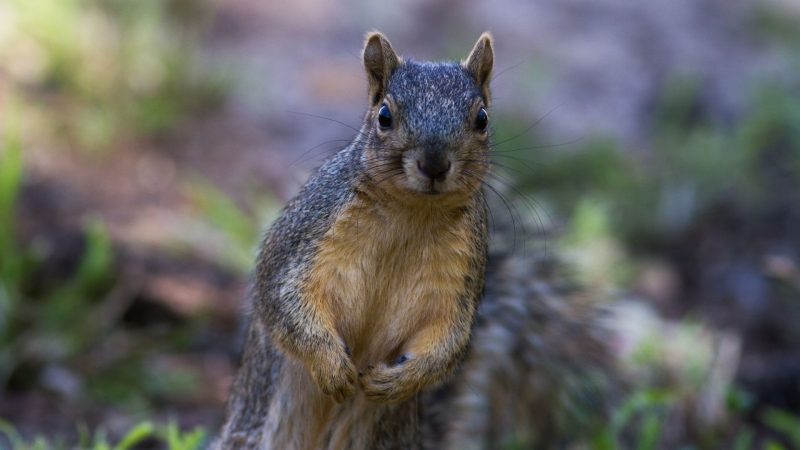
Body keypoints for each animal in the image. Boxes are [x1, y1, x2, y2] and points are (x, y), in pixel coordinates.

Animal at [216, 31, 616, 450]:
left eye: (482, 118)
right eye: (384, 116)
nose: (435, 164)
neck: (410, 214)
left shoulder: (458, 279)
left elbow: (449, 342)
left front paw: (394, 382)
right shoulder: (305, 240)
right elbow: (285, 301)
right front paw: (332, 365)